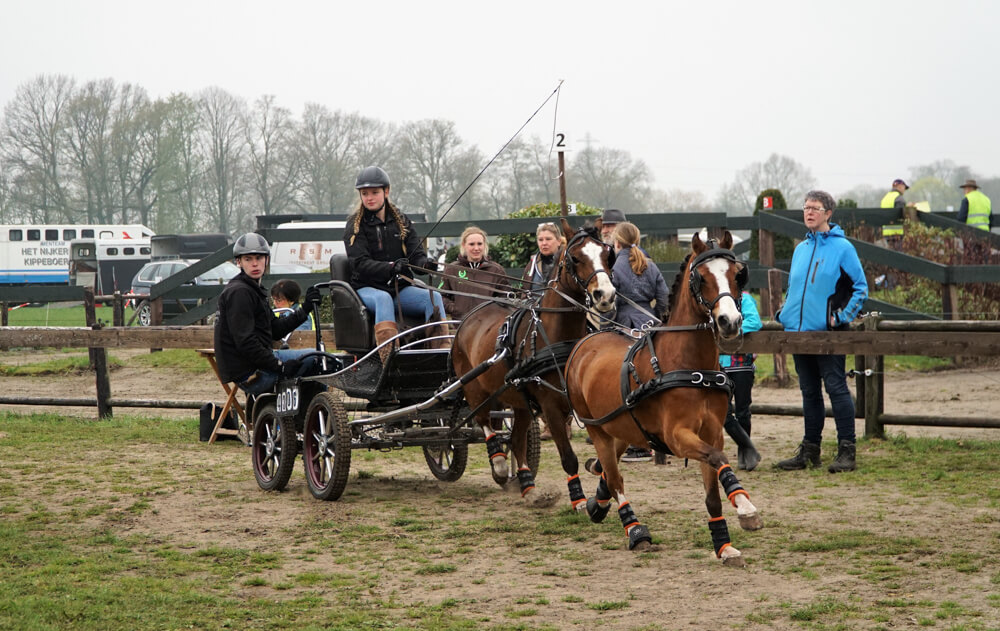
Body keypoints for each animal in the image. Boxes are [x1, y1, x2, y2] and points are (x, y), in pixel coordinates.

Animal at [456, 217, 616, 508]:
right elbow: (568, 457)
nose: (606, 295)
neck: (554, 336)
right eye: (575, 258)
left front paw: (596, 467)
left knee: (517, 439)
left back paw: (527, 485)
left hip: (519, 401)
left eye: (606, 254)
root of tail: (470, 316)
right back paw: (499, 465)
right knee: (485, 423)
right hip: (475, 389)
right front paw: (578, 500)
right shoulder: (551, 406)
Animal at [568, 233, 760, 568]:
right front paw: (745, 508)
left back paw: (597, 503)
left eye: (738, 274)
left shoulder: (711, 432)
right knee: (616, 479)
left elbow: (714, 487)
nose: (730, 321)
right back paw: (635, 530)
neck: (691, 368)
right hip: (597, 429)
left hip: (623, 427)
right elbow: (718, 457)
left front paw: (725, 544)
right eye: (701, 277)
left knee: (608, 469)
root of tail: (586, 342)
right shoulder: (677, 436)